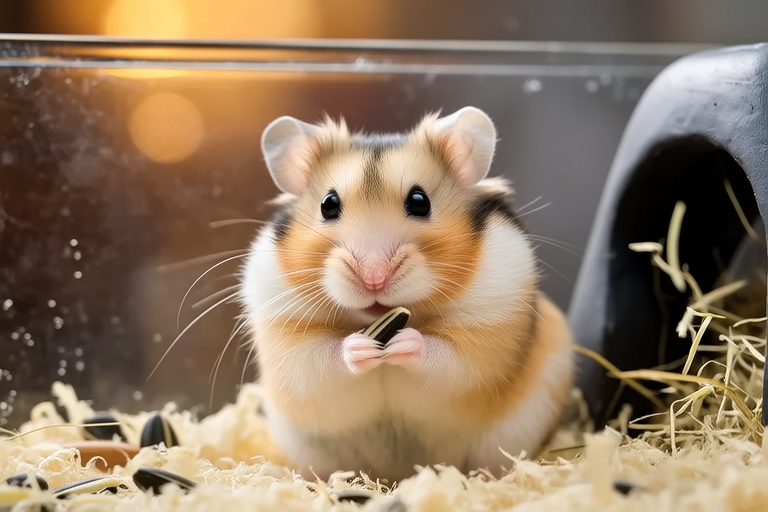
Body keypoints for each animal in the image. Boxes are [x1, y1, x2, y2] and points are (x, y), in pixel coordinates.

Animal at [239, 106, 574, 481]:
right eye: (328, 204)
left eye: (419, 201)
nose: (373, 279)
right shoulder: (289, 340)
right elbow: (322, 360)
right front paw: (362, 346)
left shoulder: (486, 329)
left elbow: (448, 358)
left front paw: (403, 343)